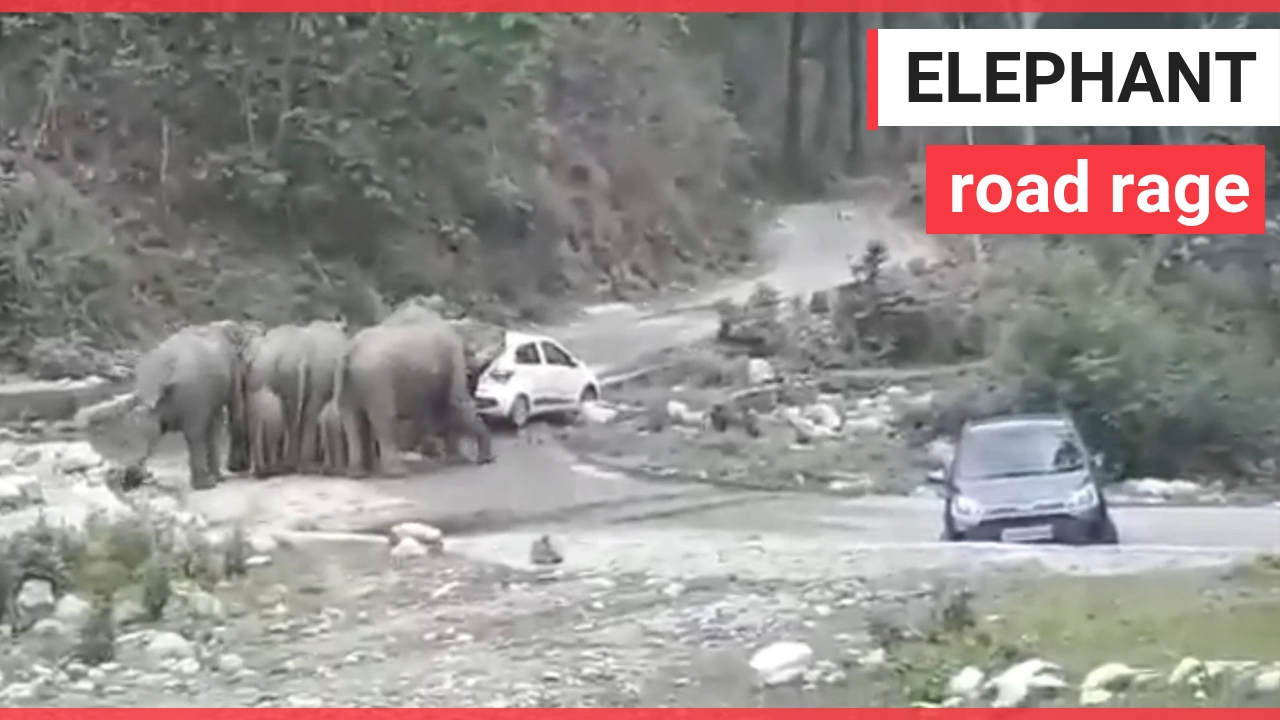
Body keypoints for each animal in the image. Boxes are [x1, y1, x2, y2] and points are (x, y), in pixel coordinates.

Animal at [127, 319, 249, 486]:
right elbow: (229, 413)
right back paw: (206, 483)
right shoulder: (232, 368)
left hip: (153, 402)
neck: (218, 326)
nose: (236, 468)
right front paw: (220, 477)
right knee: (195, 433)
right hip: (192, 394)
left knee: (149, 429)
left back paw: (132, 476)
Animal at [335, 311, 494, 474]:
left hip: (346, 381)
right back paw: (397, 472)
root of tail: (350, 352)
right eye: (471, 375)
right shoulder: (453, 360)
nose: (484, 460)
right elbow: (456, 403)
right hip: (376, 379)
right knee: (383, 419)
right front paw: (459, 460)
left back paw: (358, 473)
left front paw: (452, 459)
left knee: (352, 420)